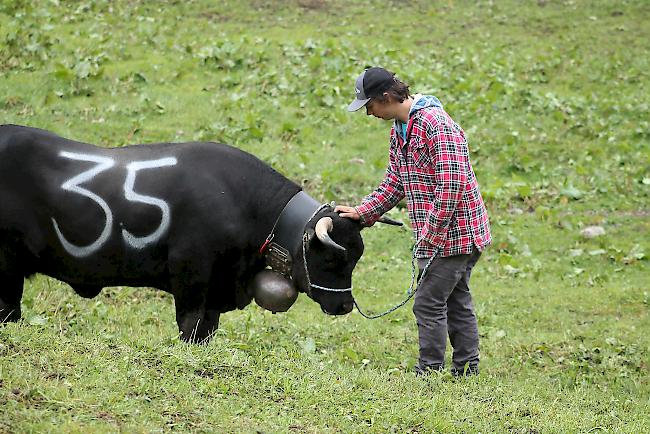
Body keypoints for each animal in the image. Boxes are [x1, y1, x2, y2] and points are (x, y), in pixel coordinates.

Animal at [0, 124, 370, 342]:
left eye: (356, 257)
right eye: (334, 259)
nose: (345, 306)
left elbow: (208, 328)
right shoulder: (191, 270)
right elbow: (190, 324)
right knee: (9, 308)